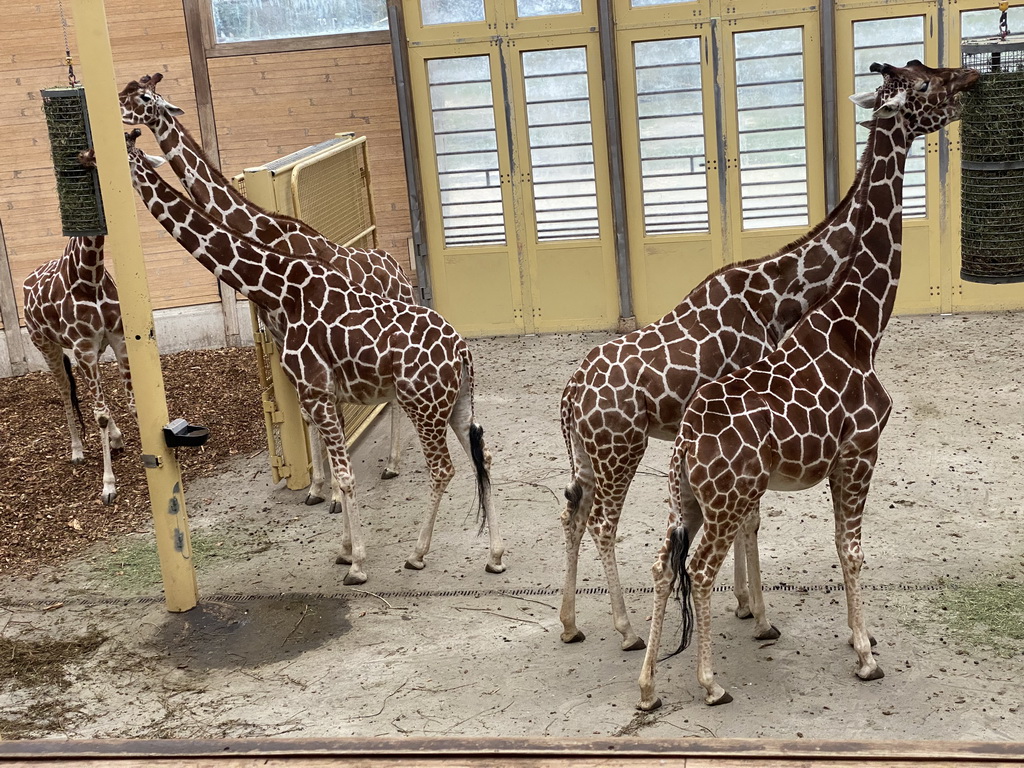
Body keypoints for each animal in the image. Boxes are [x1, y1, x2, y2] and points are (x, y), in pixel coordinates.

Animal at [23, 237, 136, 507]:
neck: (89, 277)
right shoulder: (83, 347)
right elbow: (100, 415)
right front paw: (108, 486)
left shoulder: (117, 340)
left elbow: (131, 404)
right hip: (45, 344)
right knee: (65, 389)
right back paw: (76, 450)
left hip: (86, 352)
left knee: (87, 390)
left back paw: (116, 438)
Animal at [110, 129, 505, 581]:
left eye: (121, 152)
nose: (89, 159)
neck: (279, 288)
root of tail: (463, 352)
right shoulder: (322, 392)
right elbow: (339, 466)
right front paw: (344, 549)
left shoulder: (315, 389)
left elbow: (346, 477)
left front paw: (356, 563)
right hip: (457, 404)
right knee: (483, 456)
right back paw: (495, 555)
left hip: (423, 406)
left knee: (443, 469)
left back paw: (417, 551)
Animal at [117, 72, 409, 493]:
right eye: (125, 92)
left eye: (143, 98)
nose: (117, 115)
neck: (266, 231)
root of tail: (398, 268)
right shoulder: (280, 334)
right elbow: (304, 412)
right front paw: (317, 487)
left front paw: (329, 489)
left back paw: (394, 463)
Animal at [557, 107, 876, 655]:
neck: (777, 295)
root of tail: (571, 392)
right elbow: (750, 519)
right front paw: (757, 613)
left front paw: (745, 605)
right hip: (621, 448)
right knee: (601, 524)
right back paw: (626, 630)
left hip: (587, 452)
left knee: (573, 515)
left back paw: (571, 624)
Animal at [634, 58, 978, 708]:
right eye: (923, 83)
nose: (968, 82)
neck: (861, 324)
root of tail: (687, 441)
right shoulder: (860, 451)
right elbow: (852, 549)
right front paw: (866, 655)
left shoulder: (842, 460)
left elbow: (842, 548)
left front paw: (854, 638)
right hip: (727, 498)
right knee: (700, 568)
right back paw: (711, 683)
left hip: (684, 497)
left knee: (665, 564)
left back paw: (646, 687)